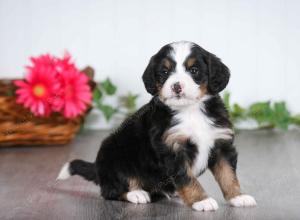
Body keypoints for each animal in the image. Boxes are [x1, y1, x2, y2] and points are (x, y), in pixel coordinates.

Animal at [57, 41, 256, 211]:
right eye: (165, 72)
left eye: (194, 70)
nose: (177, 86)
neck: (191, 111)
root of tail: (98, 168)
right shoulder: (172, 149)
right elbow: (187, 178)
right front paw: (201, 200)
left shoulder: (221, 143)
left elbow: (228, 175)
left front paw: (238, 196)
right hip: (115, 154)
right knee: (111, 191)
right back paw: (137, 193)